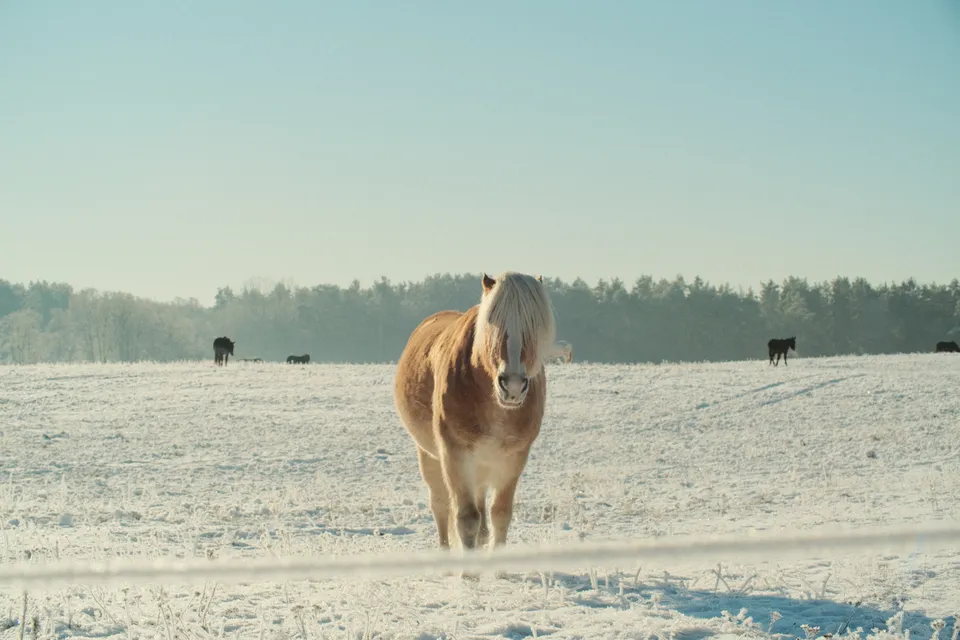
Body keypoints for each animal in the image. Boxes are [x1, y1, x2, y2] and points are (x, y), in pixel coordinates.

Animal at [394, 272, 556, 573]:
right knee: (441, 505)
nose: (512, 385)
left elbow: (500, 514)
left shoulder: (514, 458)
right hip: (430, 456)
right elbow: (466, 517)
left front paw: (499, 571)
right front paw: (469, 575)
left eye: (534, 324)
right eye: (494, 321)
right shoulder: (455, 454)